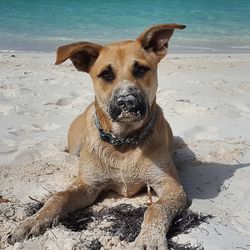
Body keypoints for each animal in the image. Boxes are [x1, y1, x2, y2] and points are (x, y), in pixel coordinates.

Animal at [8, 23, 186, 248]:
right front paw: (32, 221)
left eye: (141, 69)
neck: (123, 142)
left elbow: (156, 208)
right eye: (106, 75)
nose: (126, 101)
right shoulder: (87, 185)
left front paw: (149, 239)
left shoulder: (172, 186)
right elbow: (59, 197)